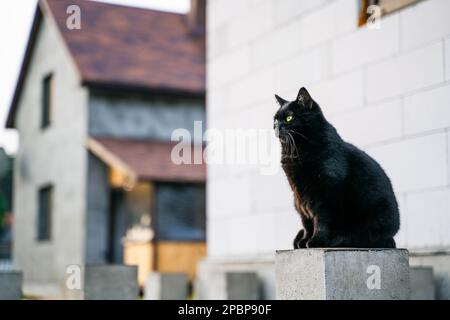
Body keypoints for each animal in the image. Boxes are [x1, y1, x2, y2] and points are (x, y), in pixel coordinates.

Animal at [272, 88, 400, 250]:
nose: (276, 127)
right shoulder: (299, 196)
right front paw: (305, 241)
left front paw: (316, 241)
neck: (296, 150)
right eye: (275, 120)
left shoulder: (325, 191)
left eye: (289, 118)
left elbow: (321, 219)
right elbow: (306, 221)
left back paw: (337, 240)